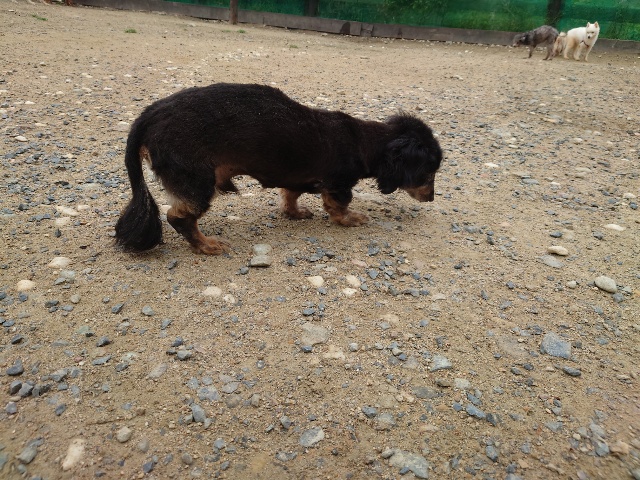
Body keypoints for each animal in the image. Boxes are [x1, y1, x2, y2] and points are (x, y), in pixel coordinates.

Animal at [115, 83, 443, 255]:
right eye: (429, 173)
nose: (431, 198)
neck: (363, 141)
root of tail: (150, 114)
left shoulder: (296, 177)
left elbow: (290, 196)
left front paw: (294, 213)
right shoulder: (338, 184)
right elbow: (339, 207)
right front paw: (351, 219)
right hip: (197, 182)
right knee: (178, 216)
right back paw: (205, 245)